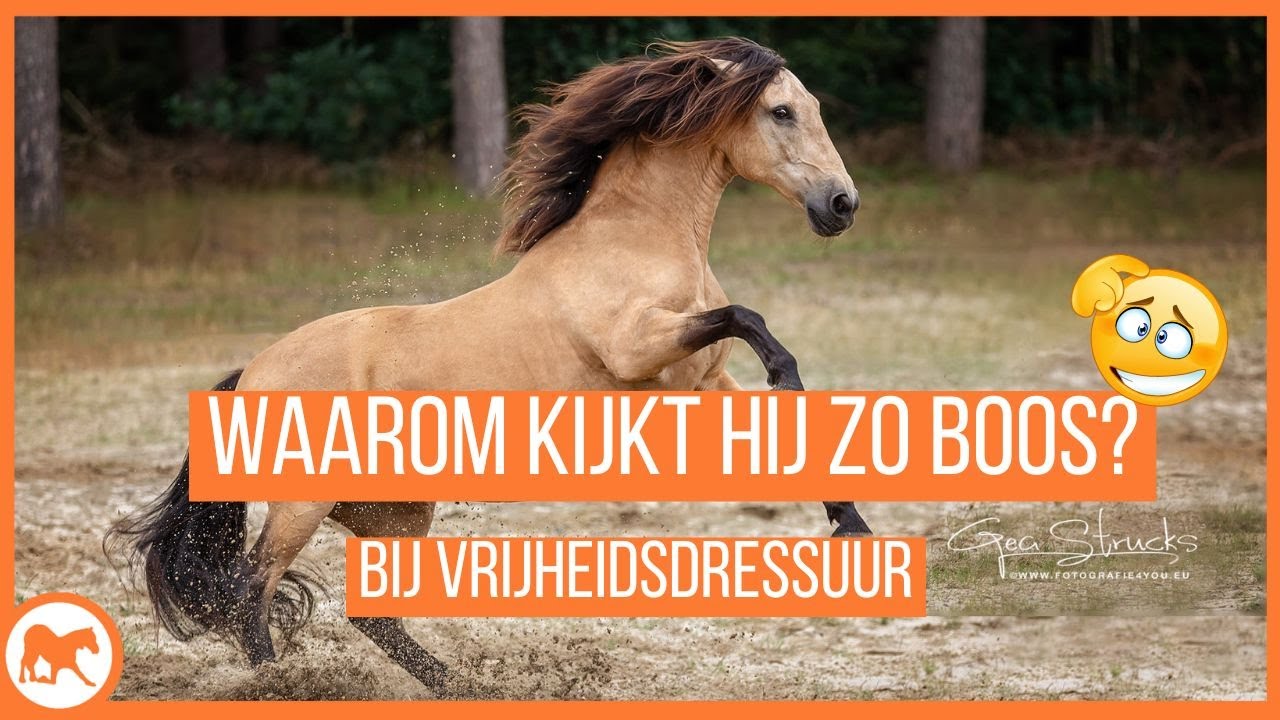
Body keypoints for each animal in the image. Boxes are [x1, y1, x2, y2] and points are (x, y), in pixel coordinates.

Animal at [107, 37, 871, 692]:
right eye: (780, 112)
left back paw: (462, 686)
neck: (638, 243)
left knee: (368, 613)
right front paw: (789, 379)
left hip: (395, 514)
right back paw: (285, 685)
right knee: (250, 591)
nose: (842, 204)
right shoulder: (638, 348)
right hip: (303, 505)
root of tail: (249, 374)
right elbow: (750, 318)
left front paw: (852, 525)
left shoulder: (705, 381)